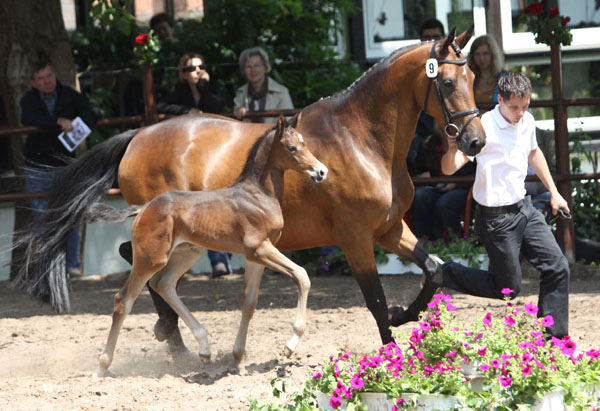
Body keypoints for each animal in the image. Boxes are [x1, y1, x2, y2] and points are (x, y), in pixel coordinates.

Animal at [90, 115, 328, 376]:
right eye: (292, 147)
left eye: (305, 143)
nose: (321, 171)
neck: (258, 195)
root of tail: (143, 208)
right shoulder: (259, 248)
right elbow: (301, 275)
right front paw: (290, 345)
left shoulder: (255, 256)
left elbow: (249, 303)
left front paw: (238, 360)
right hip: (151, 258)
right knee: (124, 299)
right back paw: (102, 366)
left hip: (187, 252)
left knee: (163, 284)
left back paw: (204, 349)